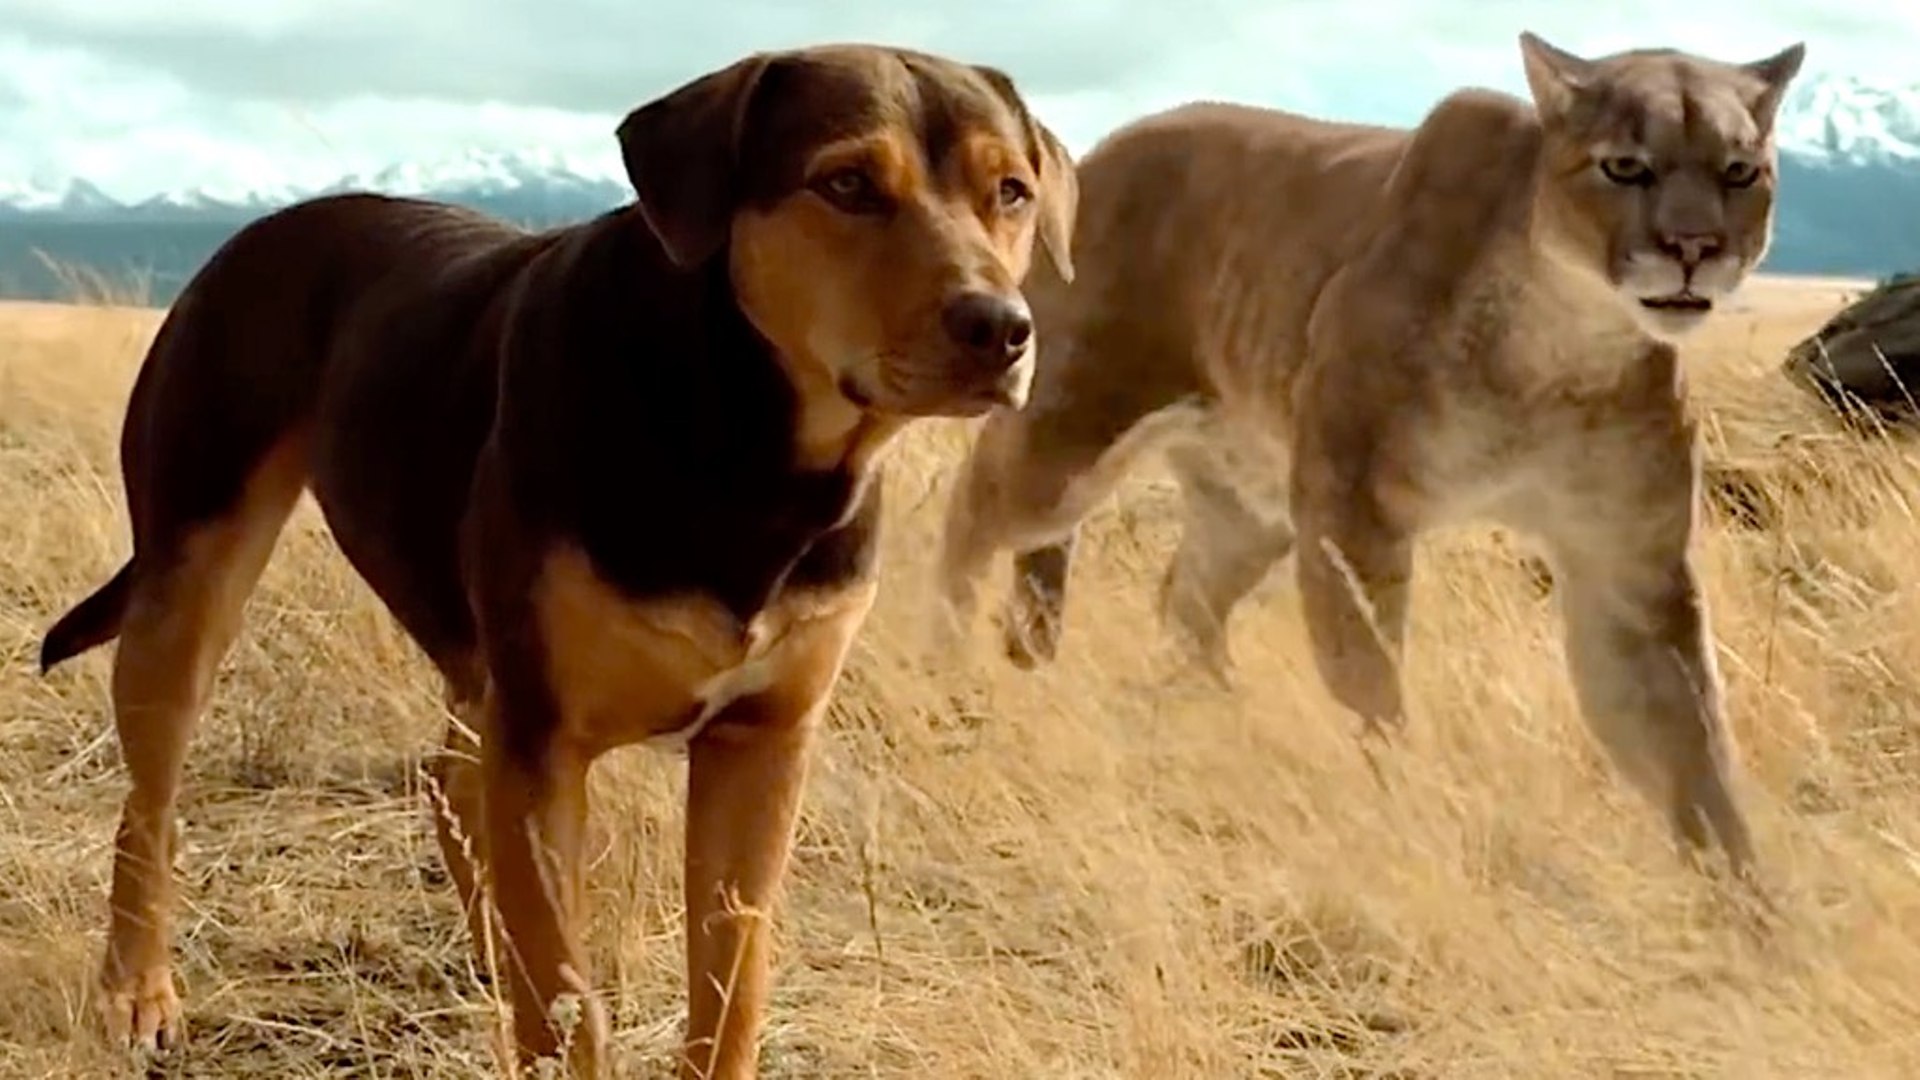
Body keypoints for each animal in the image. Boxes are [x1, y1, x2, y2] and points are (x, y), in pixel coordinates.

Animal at [37, 44, 1075, 1076]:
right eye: (847, 183)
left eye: (1011, 192)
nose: (1000, 327)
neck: (749, 451)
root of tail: (263, 229)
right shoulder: (545, 739)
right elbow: (569, 999)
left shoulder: (762, 742)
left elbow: (730, 987)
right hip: (191, 573)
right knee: (151, 803)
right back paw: (137, 990)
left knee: (448, 779)